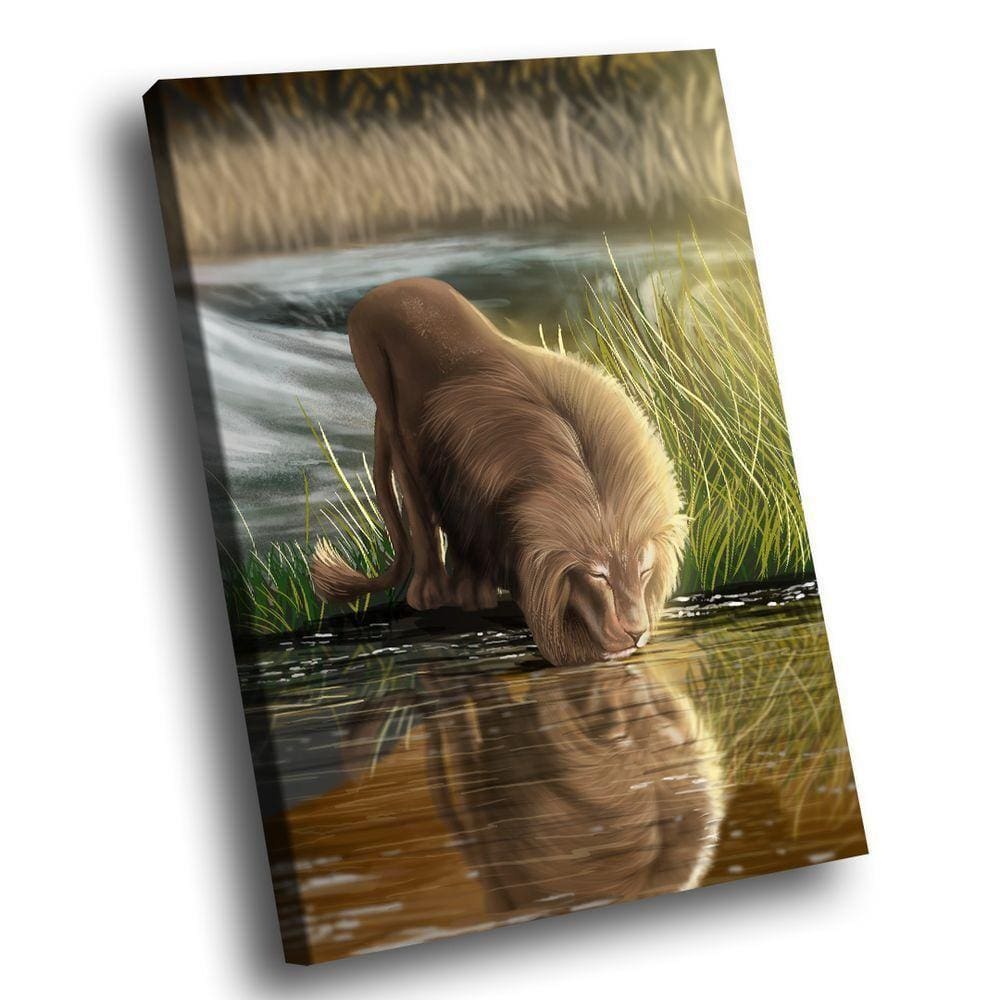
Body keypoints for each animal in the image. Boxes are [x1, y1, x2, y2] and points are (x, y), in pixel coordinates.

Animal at [311, 277, 688, 665]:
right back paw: (430, 593)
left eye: (644, 570)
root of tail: (387, 288)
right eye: (598, 575)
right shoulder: (463, 491)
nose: (636, 632)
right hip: (388, 405)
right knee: (420, 514)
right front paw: (471, 594)